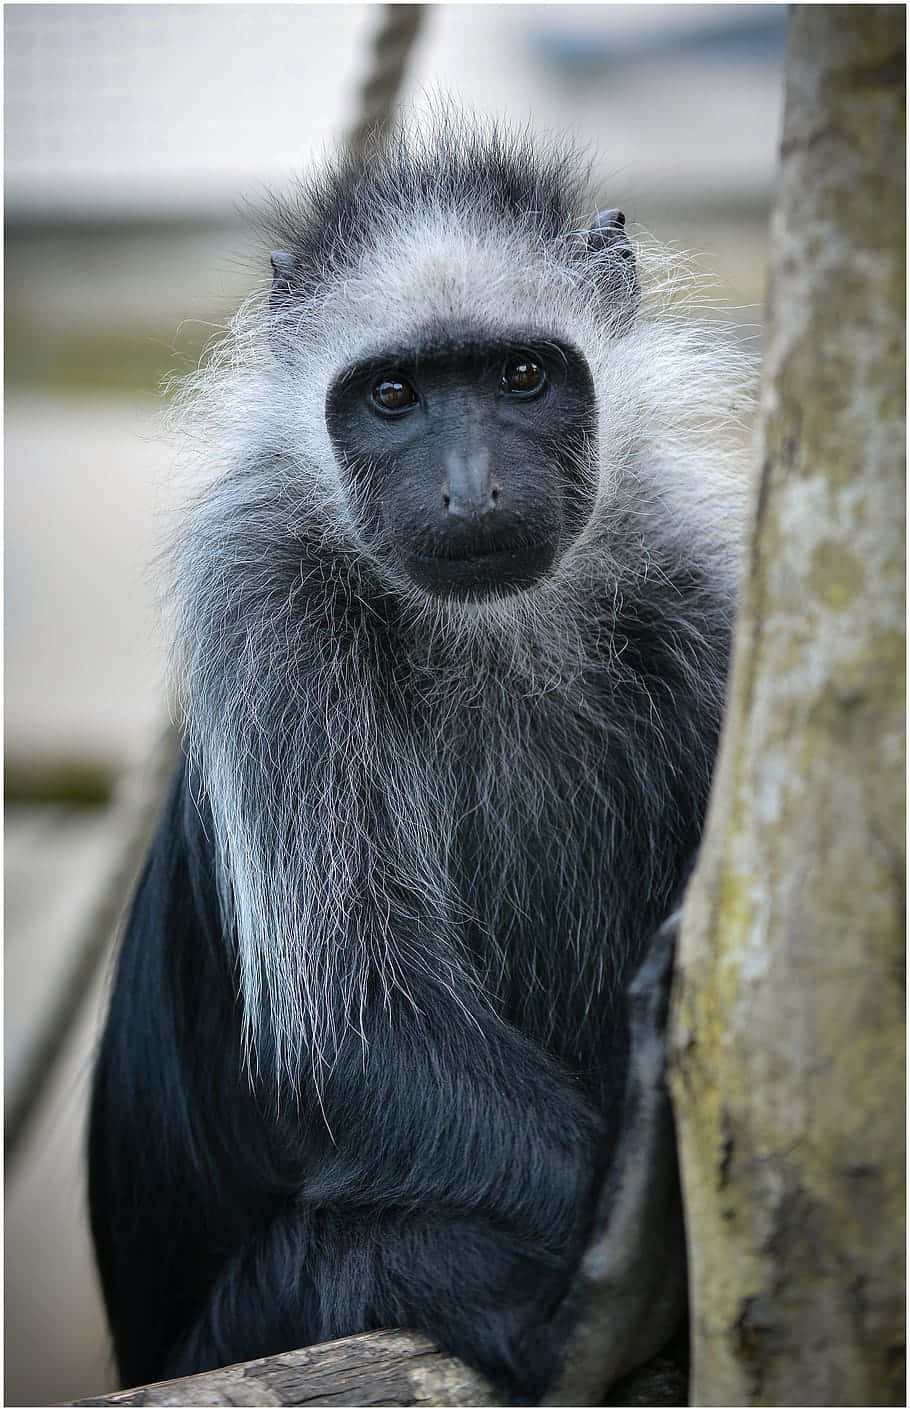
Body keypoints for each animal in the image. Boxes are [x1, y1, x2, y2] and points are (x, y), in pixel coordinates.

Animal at [88, 116, 752, 1403]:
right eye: (393, 396)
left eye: (521, 378)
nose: (468, 492)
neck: (490, 630)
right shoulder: (261, 604)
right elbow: (361, 1030)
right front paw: (629, 1223)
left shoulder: (703, 584)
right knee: (368, 1256)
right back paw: (595, 1302)